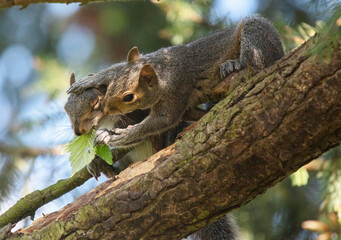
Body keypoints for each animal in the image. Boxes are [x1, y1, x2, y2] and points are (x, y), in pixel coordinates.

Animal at [66, 15, 282, 147]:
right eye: (110, 86)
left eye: (129, 97)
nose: (106, 109)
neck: (164, 72)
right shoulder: (150, 58)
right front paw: (88, 81)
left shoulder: (177, 90)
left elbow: (163, 120)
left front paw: (121, 135)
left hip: (256, 34)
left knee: (256, 62)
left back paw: (233, 65)